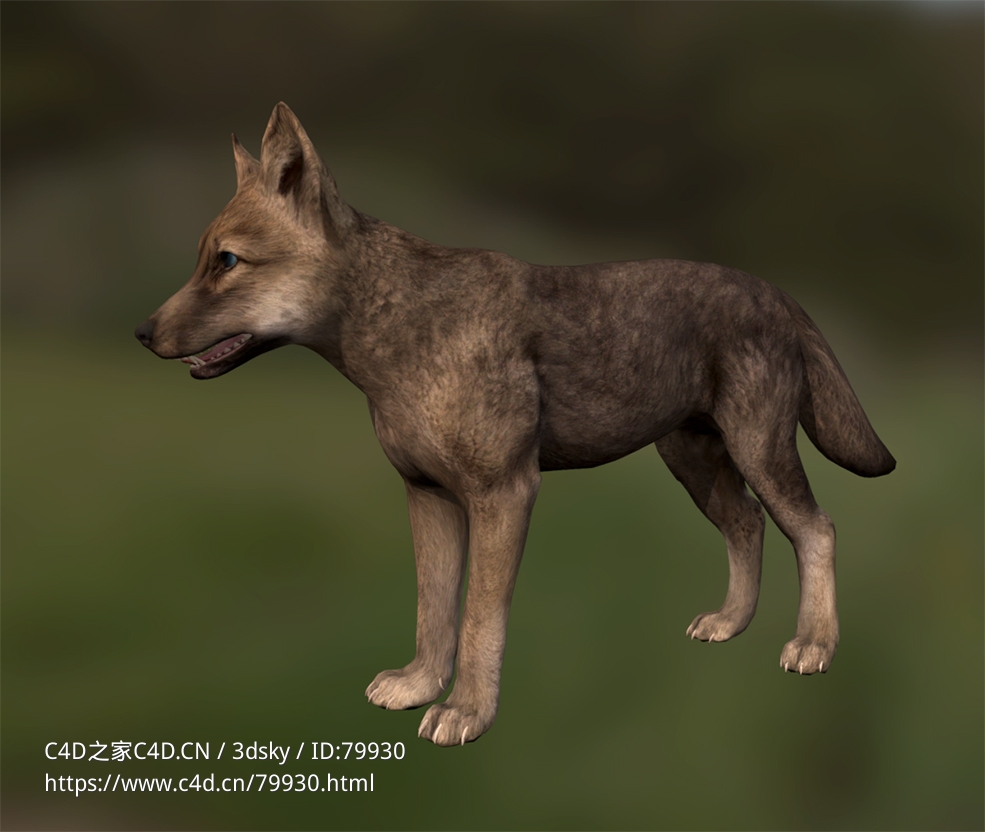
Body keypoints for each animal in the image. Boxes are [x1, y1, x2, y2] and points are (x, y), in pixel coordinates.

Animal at [135, 103, 895, 746]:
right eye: (204, 260)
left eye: (227, 262)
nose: (141, 333)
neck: (397, 329)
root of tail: (776, 290)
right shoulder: (428, 497)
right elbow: (433, 610)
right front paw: (419, 687)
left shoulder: (504, 493)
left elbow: (477, 619)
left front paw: (465, 714)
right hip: (696, 464)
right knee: (748, 526)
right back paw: (729, 624)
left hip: (757, 452)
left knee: (816, 529)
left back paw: (813, 647)